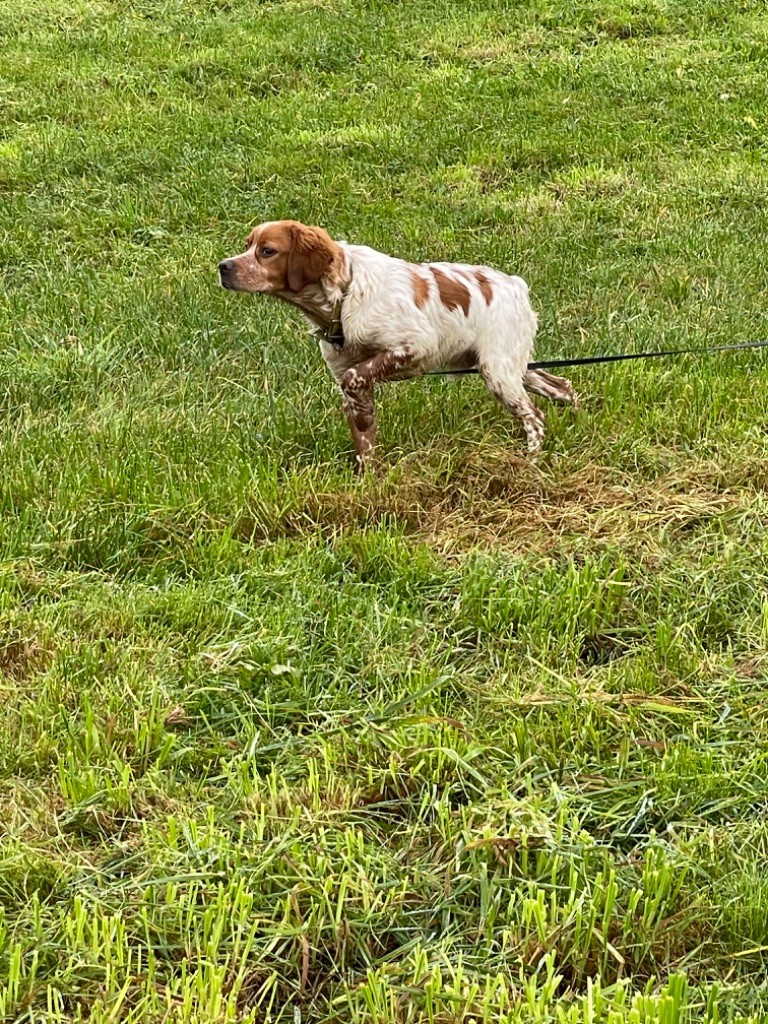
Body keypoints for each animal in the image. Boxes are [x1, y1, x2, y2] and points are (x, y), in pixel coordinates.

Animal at [217, 222, 577, 473]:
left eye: (267, 251)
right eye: (247, 246)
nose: (223, 266)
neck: (344, 295)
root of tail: (515, 285)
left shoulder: (414, 347)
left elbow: (355, 376)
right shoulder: (351, 380)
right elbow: (364, 436)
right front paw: (367, 481)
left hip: (498, 370)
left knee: (535, 416)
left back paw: (530, 461)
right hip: (507, 364)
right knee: (562, 385)